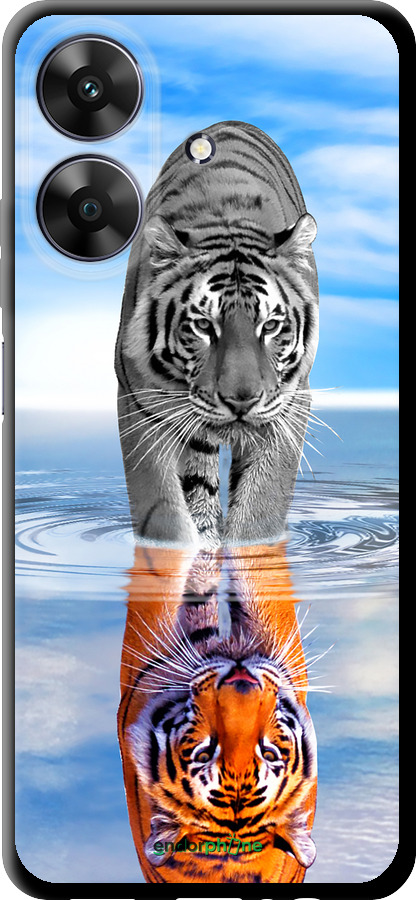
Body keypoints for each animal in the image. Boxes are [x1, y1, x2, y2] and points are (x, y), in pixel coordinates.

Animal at [115, 120, 319, 548]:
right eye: (204, 326)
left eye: (270, 326)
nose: (241, 401)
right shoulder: (139, 402)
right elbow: (163, 511)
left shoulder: (290, 404)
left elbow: (261, 508)